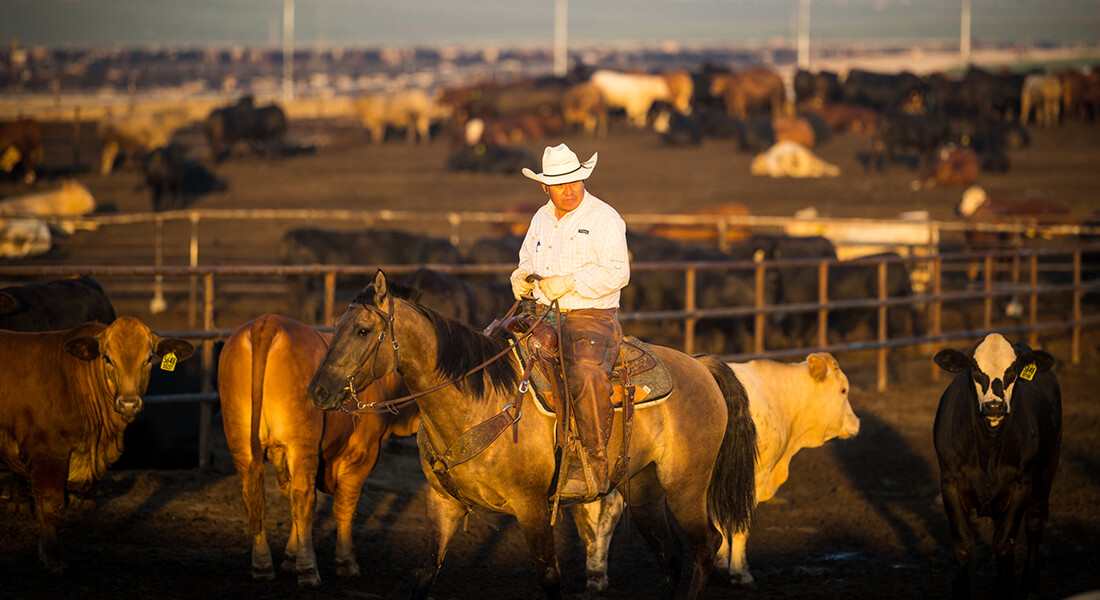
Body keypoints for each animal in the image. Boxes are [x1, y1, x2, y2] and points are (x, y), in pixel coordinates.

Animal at [0, 314, 193, 572]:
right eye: (108, 358)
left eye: (149, 358)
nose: (129, 403)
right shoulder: (48, 453)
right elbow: (52, 507)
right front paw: (52, 559)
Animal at [310, 270, 756, 598]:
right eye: (336, 325)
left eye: (363, 330)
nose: (317, 392)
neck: (478, 402)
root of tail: (700, 364)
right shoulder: (442, 503)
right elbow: (424, 575)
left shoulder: (532, 507)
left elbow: (549, 577)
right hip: (643, 488)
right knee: (671, 556)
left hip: (685, 485)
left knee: (705, 546)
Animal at [932, 332, 1060, 598]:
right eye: (974, 369)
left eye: (1013, 369)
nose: (993, 406)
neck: (988, 448)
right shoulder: (950, 482)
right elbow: (963, 542)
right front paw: (962, 590)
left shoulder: (1021, 484)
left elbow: (1004, 542)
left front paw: (1005, 588)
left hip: (1047, 469)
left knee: (1035, 521)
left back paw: (1030, 581)